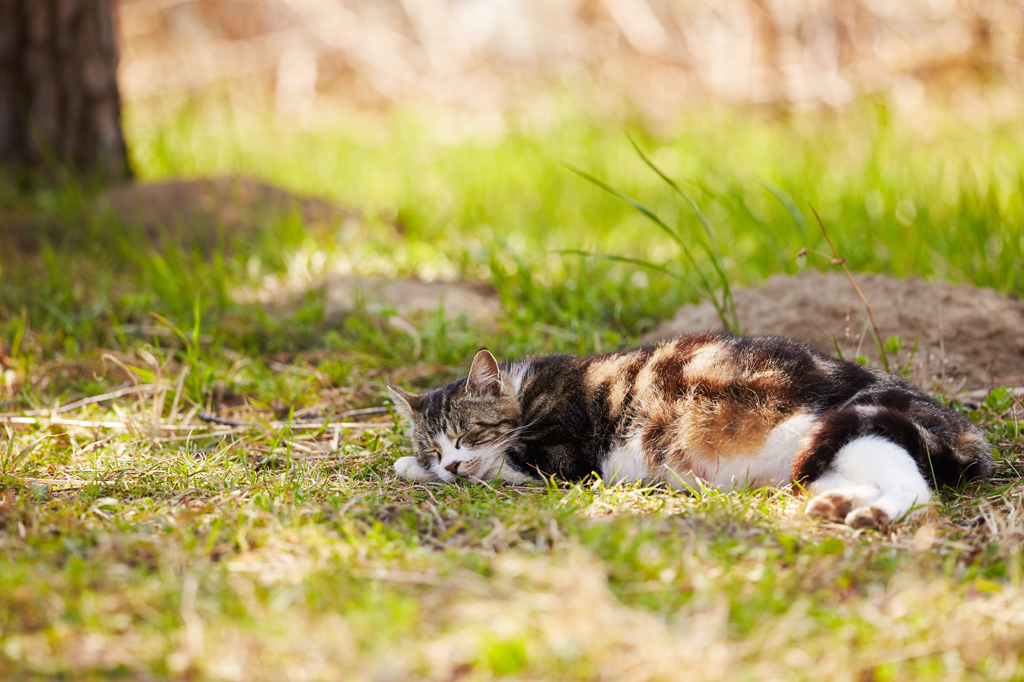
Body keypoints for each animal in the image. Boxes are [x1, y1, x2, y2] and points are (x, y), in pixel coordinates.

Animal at [389, 331, 991, 528]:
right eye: (434, 444)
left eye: (467, 434)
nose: (448, 461)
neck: (526, 392)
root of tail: (965, 430)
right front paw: (415, 465)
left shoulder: (563, 458)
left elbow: (501, 466)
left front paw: (421, 469)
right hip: (822, 460)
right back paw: (838, 506)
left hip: (864, 425)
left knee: (917, 490)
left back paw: (872, 514)